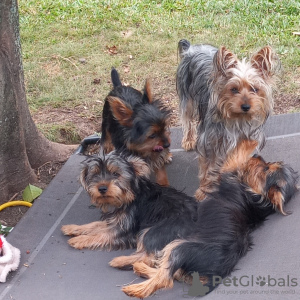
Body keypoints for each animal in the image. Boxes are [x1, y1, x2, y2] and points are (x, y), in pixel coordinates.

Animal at [61, 141, 298, 298]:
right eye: (95, 175)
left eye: (115, 174)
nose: (102, 188)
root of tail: (218, 272)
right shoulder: (116, 220)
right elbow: (95, 226)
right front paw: (73, 229)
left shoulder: (124, 226)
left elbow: (101, 234)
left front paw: (78, 241)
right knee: (164, 267)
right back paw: (139, 268)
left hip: (168, 239)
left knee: (161, 271)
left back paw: (133, 281)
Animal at [176, 39, 278, 199]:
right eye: (234, 89)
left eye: (255, 89)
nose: (246, 106)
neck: (237, 119)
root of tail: (191, 48)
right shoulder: (210, 142)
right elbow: (208, 168)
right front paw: (204, 191)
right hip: (187, 96)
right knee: (187, 118)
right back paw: (188, 140)